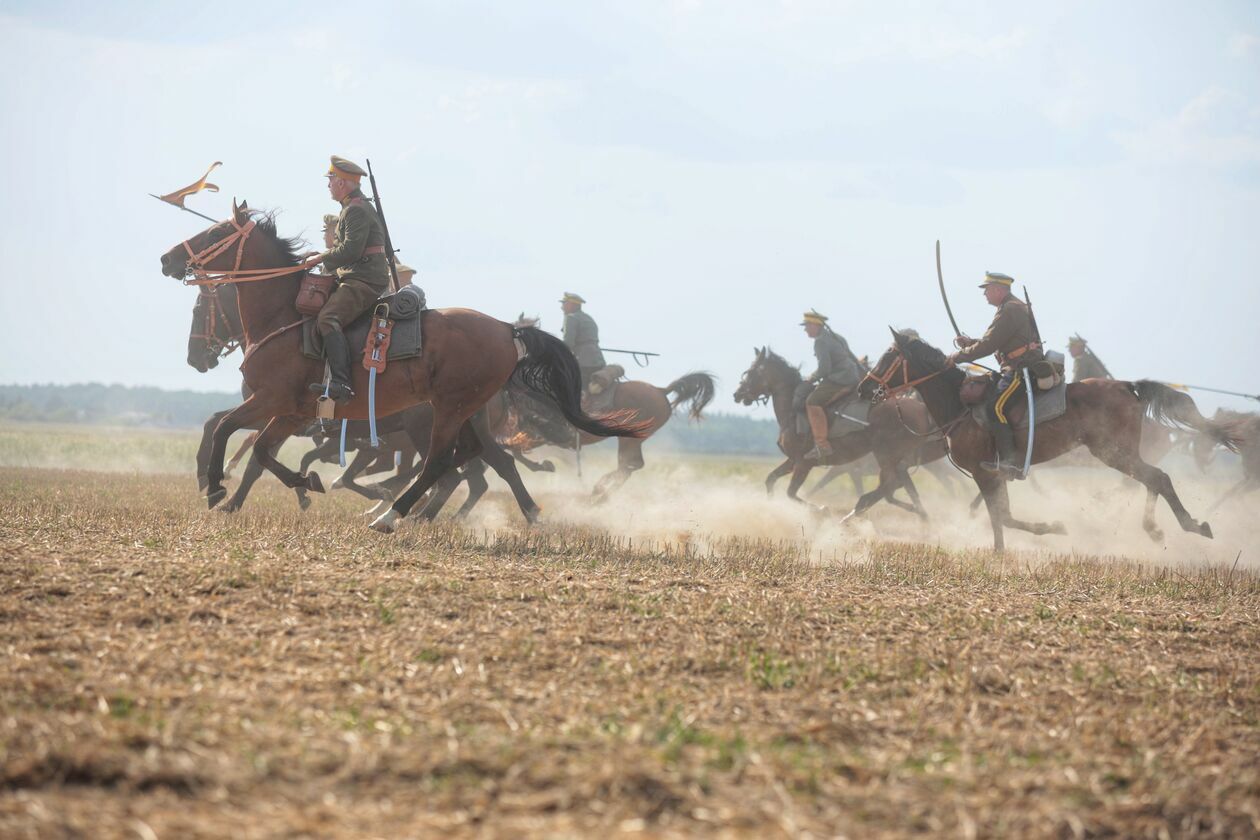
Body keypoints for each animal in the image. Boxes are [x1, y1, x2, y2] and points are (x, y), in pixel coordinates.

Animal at [158, 201, 645, 531]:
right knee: (482, 463)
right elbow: (256, 448)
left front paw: (218, 487)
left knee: (443, 463)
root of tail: (507, 329)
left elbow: (228, 430)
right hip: (464, 414)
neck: (283, 316)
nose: (167, 259)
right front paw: (302, 483)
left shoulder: (271, 401)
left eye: (213, 234)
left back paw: (391, 514)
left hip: (447, 411)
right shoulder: (290, 412)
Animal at [504, 372, 720, 503]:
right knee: (630, 466)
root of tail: (661, 391)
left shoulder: (545, 435)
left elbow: (514, 449)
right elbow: (514, 449)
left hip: (629, 439)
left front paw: (544, 465)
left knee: (629, 464)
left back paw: (599, 491)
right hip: (632, 440)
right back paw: (600, 494)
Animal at [730, 347, 947, 518]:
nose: (737, 394)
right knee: (895, 488)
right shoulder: (793, 461)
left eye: (751, 372)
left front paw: (822, 510)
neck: (792, 410)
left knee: (894, 486)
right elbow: (771, 479)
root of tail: (919, 408)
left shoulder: (804, 464)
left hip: (888, 456)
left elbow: (792, 493)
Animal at [861, 332, 1244, 554]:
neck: (960, 404)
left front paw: (1010, 548)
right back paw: (1155, 530)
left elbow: (1000, 516)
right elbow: (1004, 516)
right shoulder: (995, 474)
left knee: (1157, 478)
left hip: (1114, 453)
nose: (865, 388)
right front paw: (1039, 534)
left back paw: (1190, 526)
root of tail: (1126, 385)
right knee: (1151, 480)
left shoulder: (985, 474)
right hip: (1119, 454)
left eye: (890, 355)